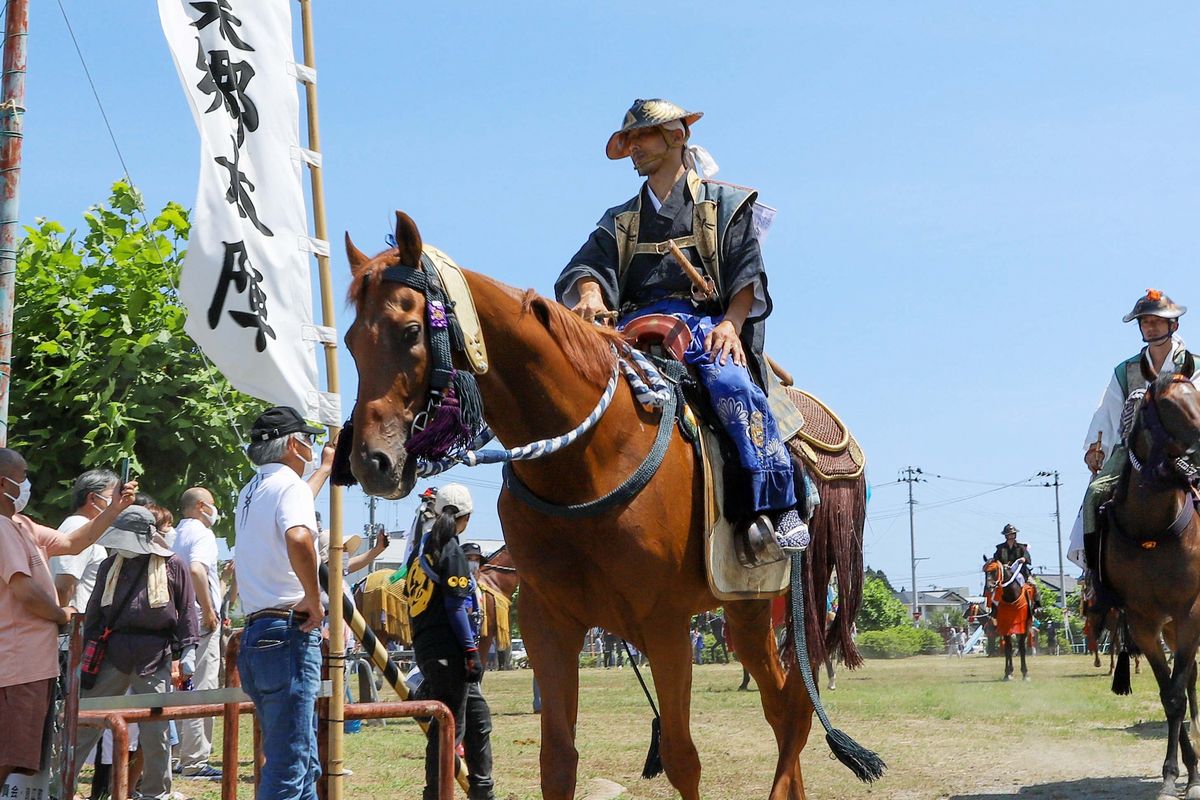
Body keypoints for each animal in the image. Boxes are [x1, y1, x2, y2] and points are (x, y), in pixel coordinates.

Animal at [338, 212, 873, 800]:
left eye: (411, 332)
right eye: (350, 342)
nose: (370, 462)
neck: (587, 459)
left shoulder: (665, 625)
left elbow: (683, 758)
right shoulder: (548, 622)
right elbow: (558, 759)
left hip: (774, 600)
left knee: (792, 708)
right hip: (745, 609)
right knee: (784, 705)